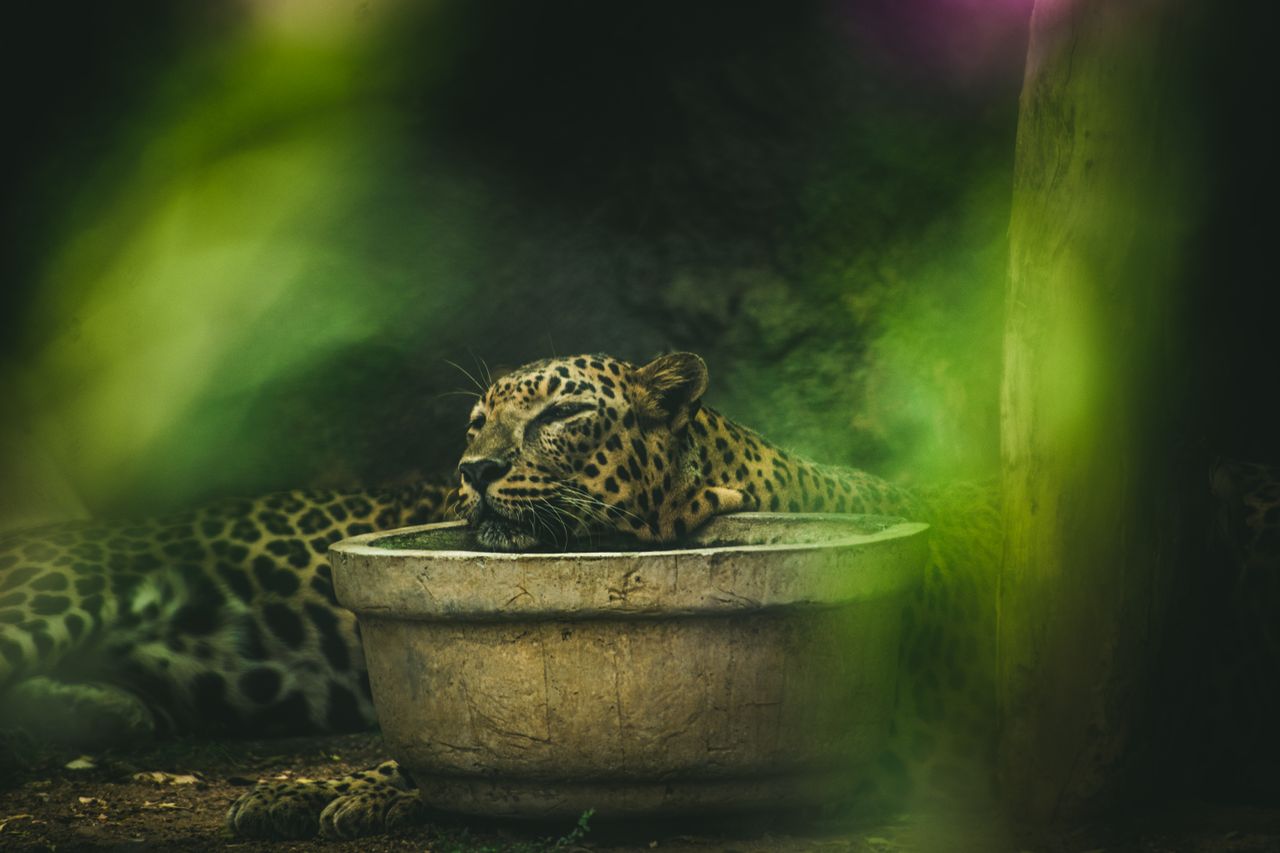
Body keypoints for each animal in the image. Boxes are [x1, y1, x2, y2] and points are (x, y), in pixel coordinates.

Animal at [0, 352, 1002, 840]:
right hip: (54, 592)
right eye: (477, 420)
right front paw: (308, 788)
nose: (473, 469)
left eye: (561, 414)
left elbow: (428, 763)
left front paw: (345, 793)